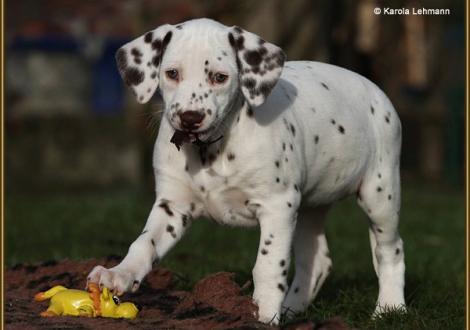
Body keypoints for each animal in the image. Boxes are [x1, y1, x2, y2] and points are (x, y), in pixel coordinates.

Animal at [87, 17, 404, 322]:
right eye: (172, 73)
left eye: (219, 77)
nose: (190, 118)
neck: (211, 149)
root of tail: (374, 88)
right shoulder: (172, 206)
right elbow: (144, 243)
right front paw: (119, 274)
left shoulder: (277, 206)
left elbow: (268, 264)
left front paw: (262, 312)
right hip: (308, 207)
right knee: (316, 262)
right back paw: (291, 309)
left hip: (379, 195)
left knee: (390, 250)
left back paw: (389, 308)